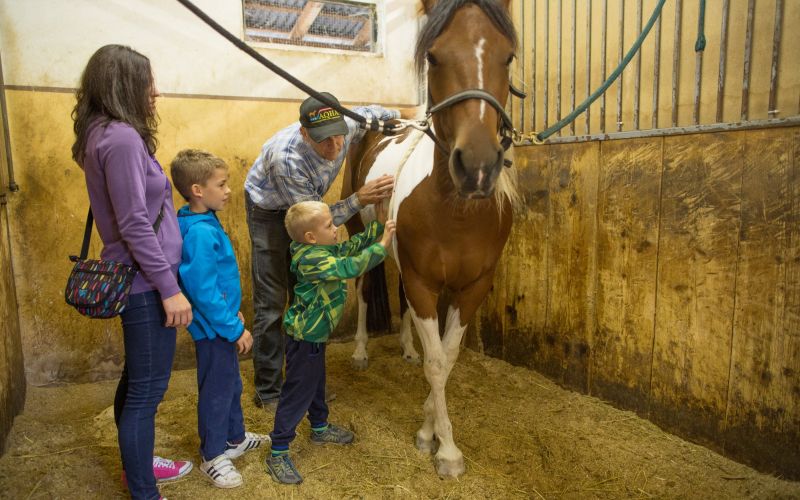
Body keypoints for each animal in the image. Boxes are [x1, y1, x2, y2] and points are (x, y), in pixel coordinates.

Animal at [340, 0, 516, 476]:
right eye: (433, 57)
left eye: (508, 57)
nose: (478, 167)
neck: (455, 211)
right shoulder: (424, 282)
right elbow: (438, 363)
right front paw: (443, 448)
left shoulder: (472, 287)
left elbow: (448, 357)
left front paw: (430, 426)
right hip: (361, 234)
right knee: (363, 290)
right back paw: (360, 353)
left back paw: (405, 348)